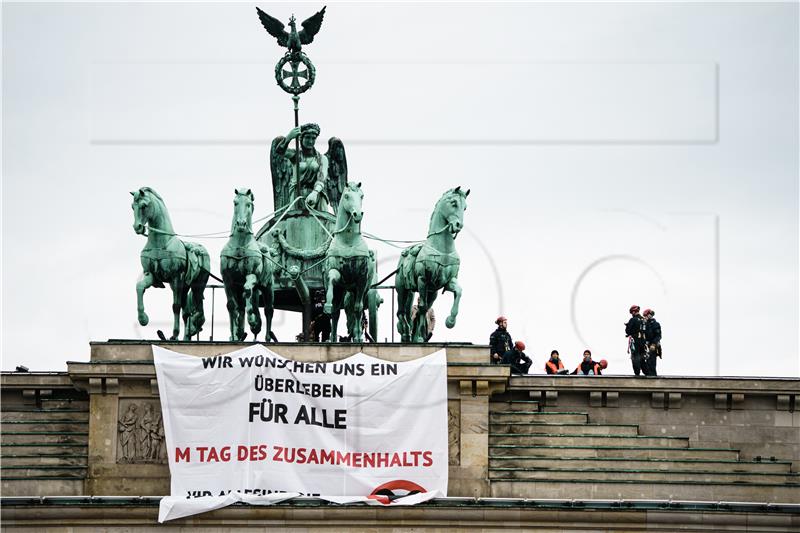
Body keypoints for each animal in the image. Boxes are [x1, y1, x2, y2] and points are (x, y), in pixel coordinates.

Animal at [130, 186, 209, 336]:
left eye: (144, 206)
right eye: (132, 206)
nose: (137, 227)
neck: (160, 242)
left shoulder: (176, 278)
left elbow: (175, 306)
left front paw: (174, 333)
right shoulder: (151, 275)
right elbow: (139, 287)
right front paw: (143, 319)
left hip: (197, 285)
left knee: (197, 309)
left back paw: (193, 326)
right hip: (185, 285)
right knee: (186, 312)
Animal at [220, 189, 276, 342]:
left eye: (249, 204)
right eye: (235, 202)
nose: (241, 224)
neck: (240, 246)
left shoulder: (252, 275)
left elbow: (248, 293)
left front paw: (253, 322)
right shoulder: (227, 281)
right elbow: (231, 306)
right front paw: (234, 334)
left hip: (267, 286)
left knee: (268, 310)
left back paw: (266, 336)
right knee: (241, 306)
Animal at [322, 182, 376, 340]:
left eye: (362, 196)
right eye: (346, 196)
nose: (357, 214)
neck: (348, 241)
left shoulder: (361, 280)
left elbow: (358, 309)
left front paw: (358, 336)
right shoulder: (339, 276)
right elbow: (332, 278)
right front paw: (327, 303)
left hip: (361, 289)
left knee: (356, 309)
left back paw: (357, 335)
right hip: (343, 290)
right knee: (336, 312)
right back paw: (333, 338)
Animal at [396, 187, 468, 342]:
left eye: (465, 207)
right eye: (454, 203)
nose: (458, 226)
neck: (442, 249)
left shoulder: (446, 282)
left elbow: (459, 291)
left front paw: (450, 321)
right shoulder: (423, 279)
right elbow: (422, 308)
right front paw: (418, 337)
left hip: (431, 292)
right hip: (402, 289)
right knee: (401, 312)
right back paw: (405, 332)